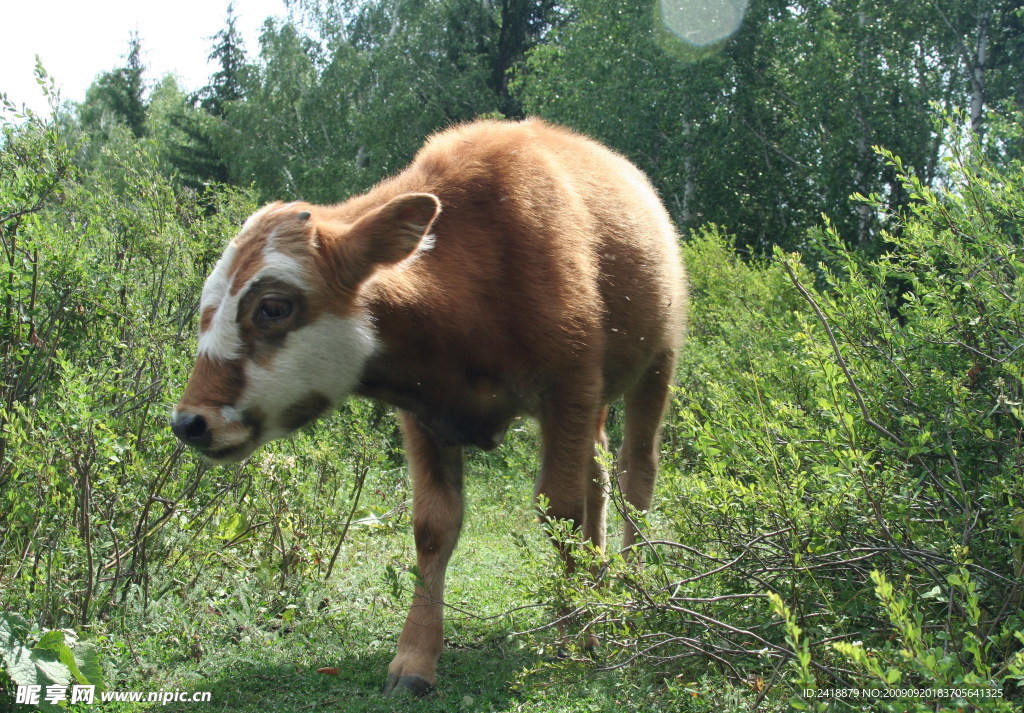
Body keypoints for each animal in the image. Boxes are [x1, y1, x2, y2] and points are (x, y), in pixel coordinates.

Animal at [172, 118, 688, 696]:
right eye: (207, 308)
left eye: (273, 307)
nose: (190, 422)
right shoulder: (425, 413)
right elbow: (434, 525)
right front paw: (415, 658)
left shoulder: (568, 389)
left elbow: (560, 510)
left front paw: (578, 637)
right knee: (598, 476)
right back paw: (596, 586)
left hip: (657, 364)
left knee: (634, 473)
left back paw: (630, 587)